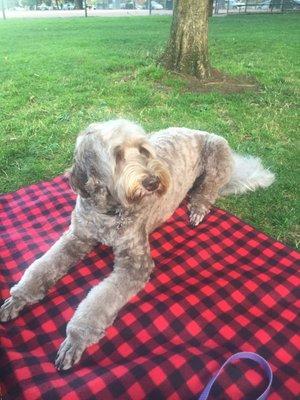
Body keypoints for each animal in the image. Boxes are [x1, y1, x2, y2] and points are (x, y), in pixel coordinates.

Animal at [0, 119, 274, 368]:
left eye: (143, 150)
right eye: (117, 155)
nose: (153, 182)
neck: (109, 211)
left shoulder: (135, 264)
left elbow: (98, 301)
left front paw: (75, 338)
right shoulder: (77, 236)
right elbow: (42, 267)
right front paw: (18, 298)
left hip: (216, 162)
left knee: (207, 192)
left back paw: (197, 209)